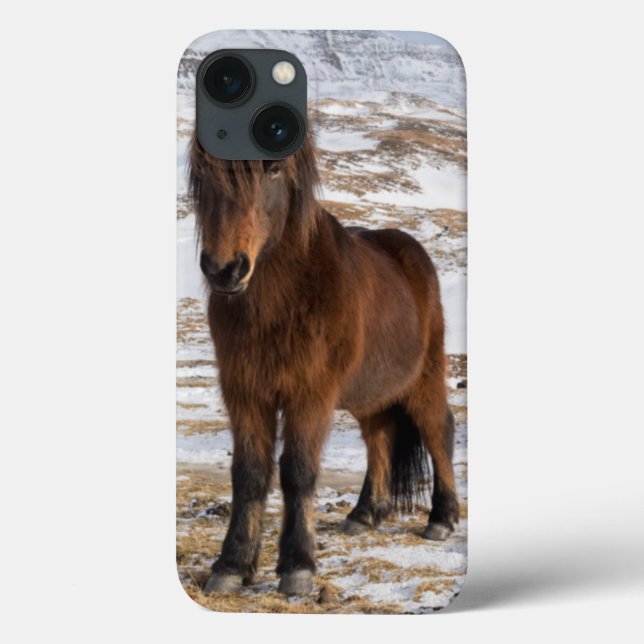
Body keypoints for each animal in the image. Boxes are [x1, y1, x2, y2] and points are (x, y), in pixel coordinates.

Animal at [188, 131, 459, 596]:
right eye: (206, 169)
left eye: (273, 169)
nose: (225, 269)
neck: (281, 300)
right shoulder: (244, 392)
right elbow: (249, 473)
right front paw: (231, 566)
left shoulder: (309, 393)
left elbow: (298, 471)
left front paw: (297, 567)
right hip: (372, 394)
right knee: (380, 437)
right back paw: (364, 514)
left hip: (423, 378)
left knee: (439, 430)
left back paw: (441, 519)